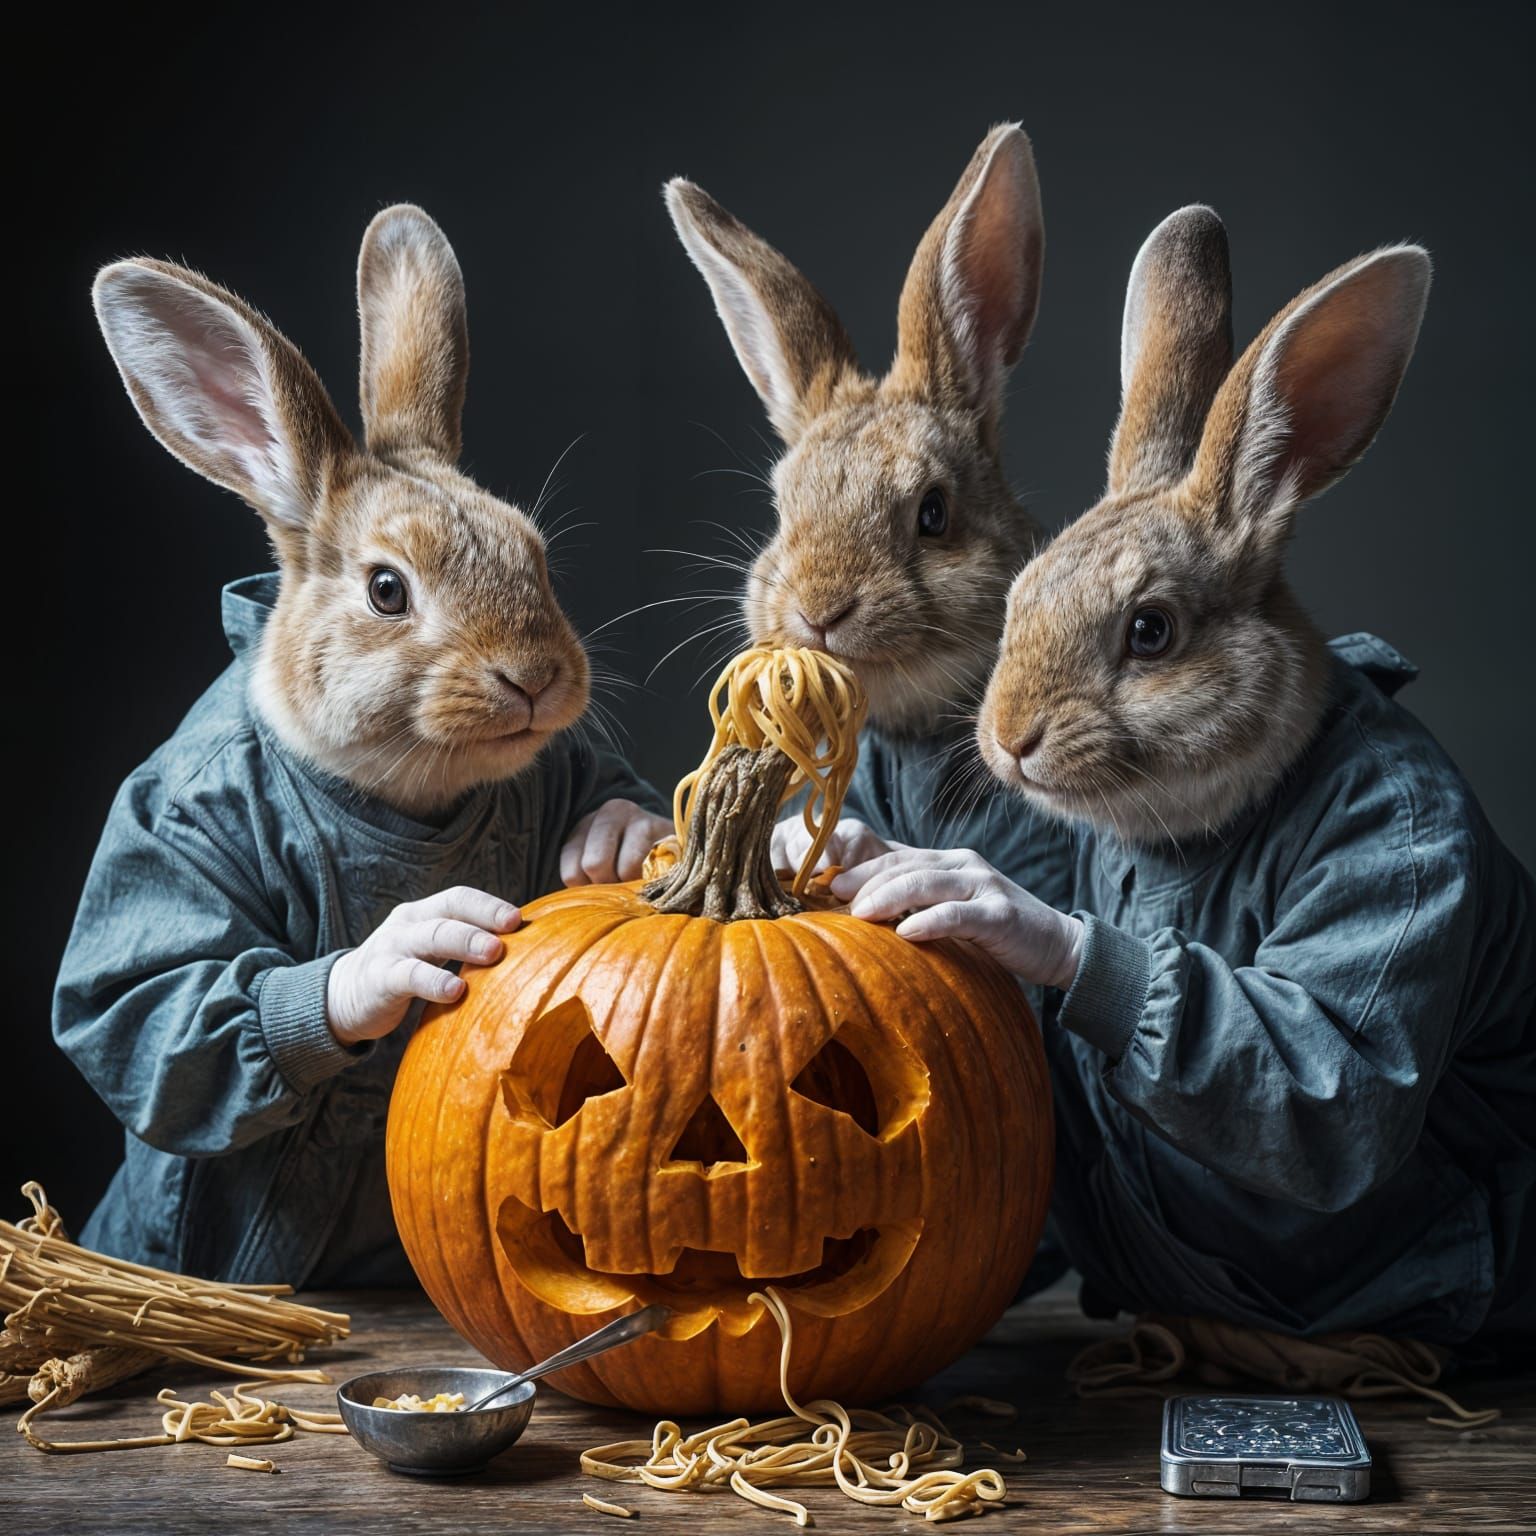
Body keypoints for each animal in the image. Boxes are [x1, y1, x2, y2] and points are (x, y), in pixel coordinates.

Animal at [54, 206, 666, 1284]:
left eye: (535, 556)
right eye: (387, 590)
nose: (537, 678)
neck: (398, 807)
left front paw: (615, 841)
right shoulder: (178, 825)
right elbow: (152, 1003)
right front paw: (409, 948)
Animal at [837, 207, 1536, 1344]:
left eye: (1152, 632)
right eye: (1021, 594)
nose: (1009, 736)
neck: (1184, 839)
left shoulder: (1399, 837)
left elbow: (1323, 1070)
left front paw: (986, 902)